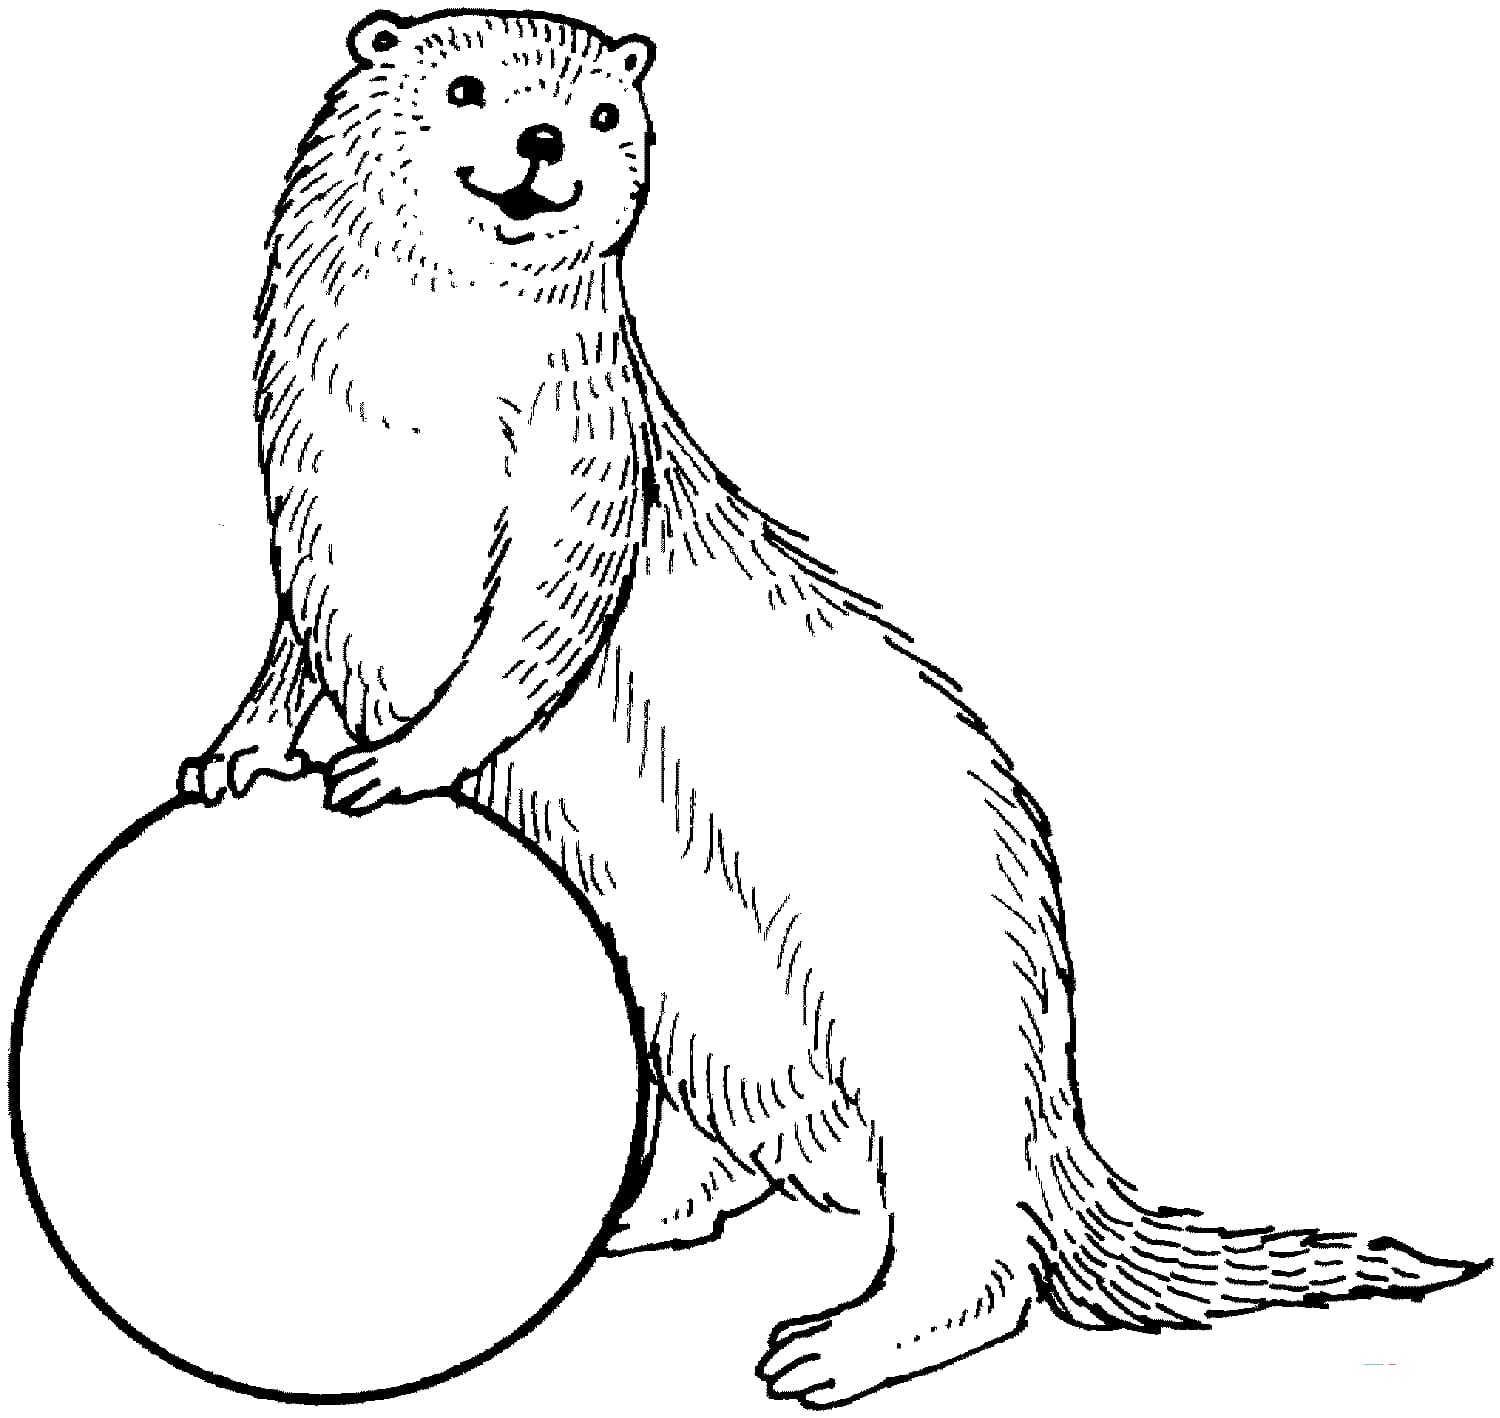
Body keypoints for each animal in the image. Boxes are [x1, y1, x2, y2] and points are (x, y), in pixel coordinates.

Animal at [178, 9, 1487, 1408]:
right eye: (468, 86)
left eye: (601, 113)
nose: (541, 142)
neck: (404, 409)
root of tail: (1056, 1088)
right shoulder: (303, 502)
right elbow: (287, 650)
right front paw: (234, 756)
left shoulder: (586, 450)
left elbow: (538, 627)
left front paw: (396, 760)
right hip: (689, 1013)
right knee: (717, 1159)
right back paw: (626, 1218)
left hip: (923, 980)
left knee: (980, 1247)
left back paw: (835, 1345)